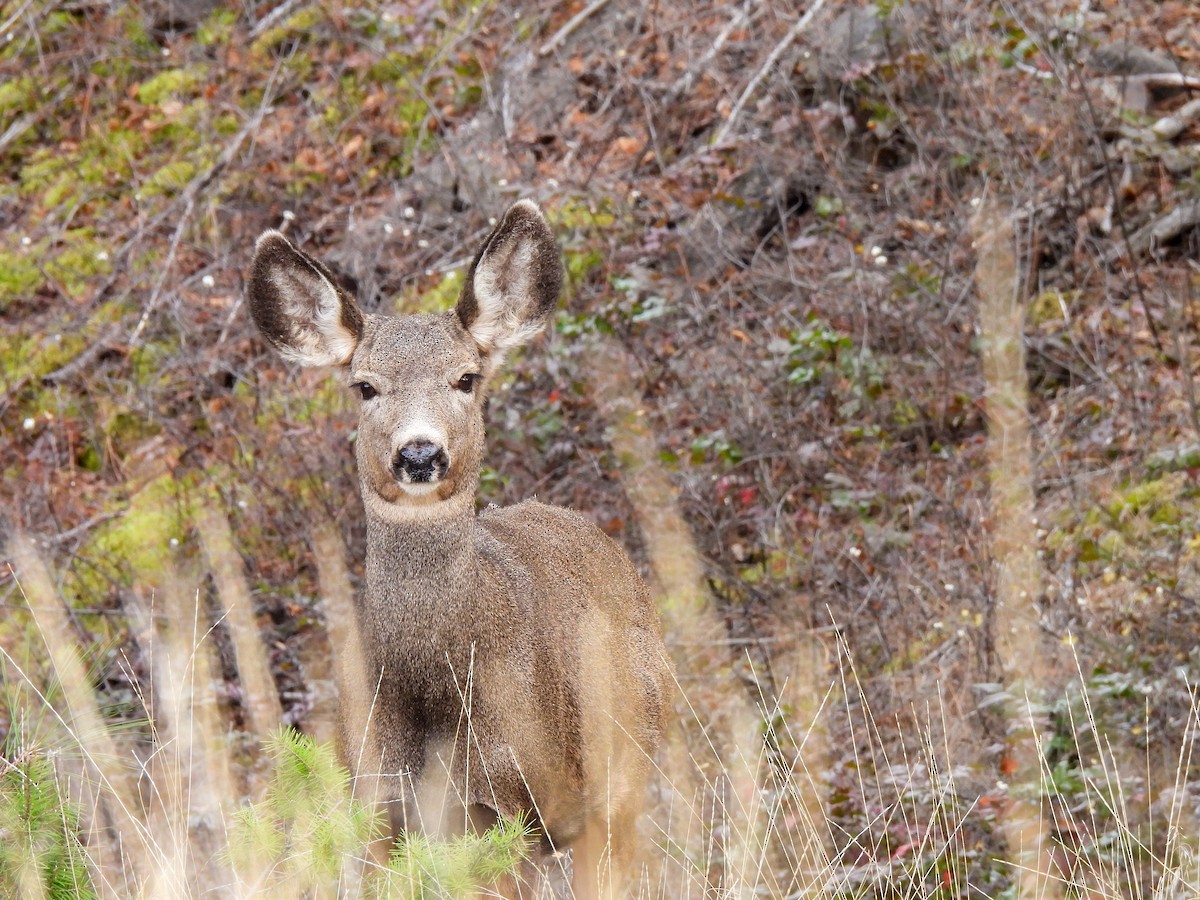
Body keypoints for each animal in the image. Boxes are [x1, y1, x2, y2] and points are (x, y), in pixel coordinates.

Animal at [246, 200, 671, 898]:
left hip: (622, 770)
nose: (420, 453)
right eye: (365, 386)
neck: (434, 692)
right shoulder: (382, 807)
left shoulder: (522, 802)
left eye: (467, 378)